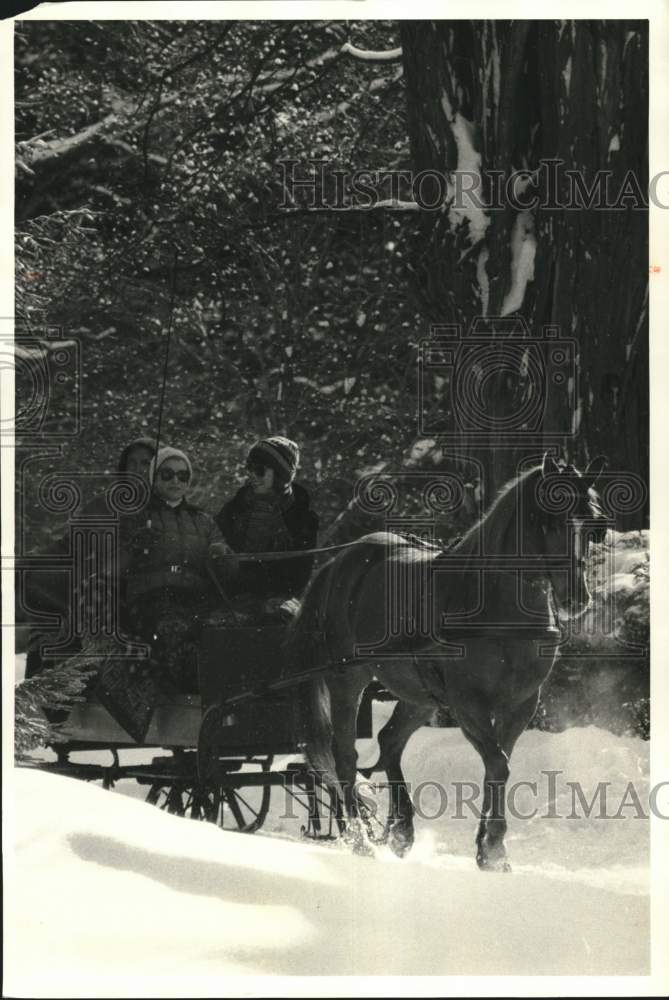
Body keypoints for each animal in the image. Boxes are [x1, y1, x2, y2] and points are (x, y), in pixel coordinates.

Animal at [284, 454, 608, 868]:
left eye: (594, 526)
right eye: (548, 519)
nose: (576, 598)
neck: (497, 604)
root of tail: (340, 562)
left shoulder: (520, 704)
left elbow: (497, 766)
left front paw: (488, 848)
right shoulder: (467, 702)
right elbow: (498, 763)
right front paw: (494, 846)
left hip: (419, 695)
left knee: (390, 741)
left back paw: (401, 830)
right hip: (347, 680)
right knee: (345, 757)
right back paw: (361, 840)